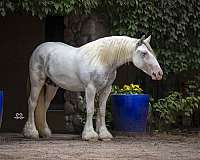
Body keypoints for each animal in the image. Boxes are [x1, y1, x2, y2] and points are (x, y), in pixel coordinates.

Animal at [22, 34, 162, 140]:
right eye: (144, 53)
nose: (158, 74)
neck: (102, 59)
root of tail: (38, 50)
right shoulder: (90, 89)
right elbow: (90, 110)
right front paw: (89, 135)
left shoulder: (105, 90)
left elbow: (102, 111)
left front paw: (104, 134)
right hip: (37, 82)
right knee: (32, 103)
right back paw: (31, 133)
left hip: (51, 86)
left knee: (44, 106)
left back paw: (45, 132)